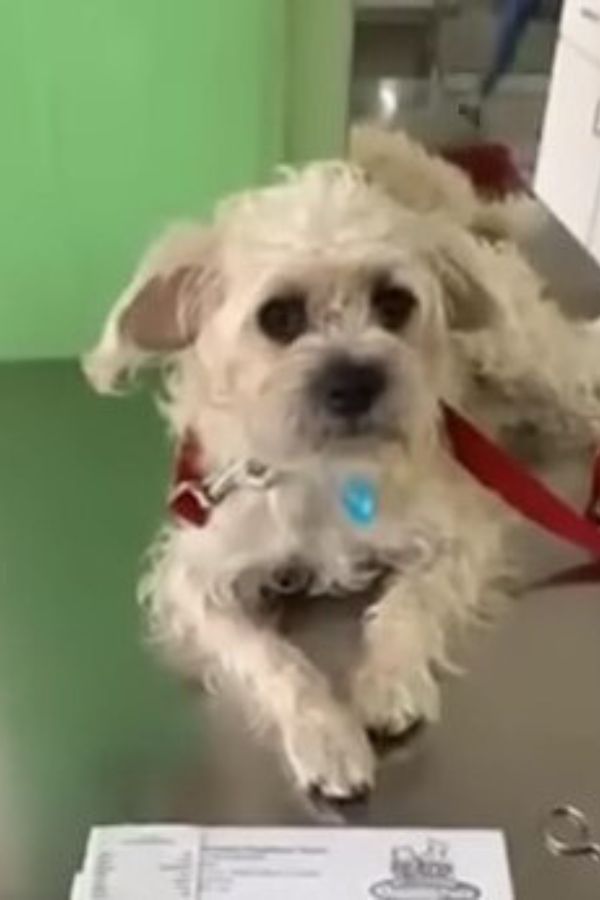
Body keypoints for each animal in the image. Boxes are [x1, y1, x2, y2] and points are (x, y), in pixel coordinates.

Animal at [86, 128, 600, 800]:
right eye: (279, 316)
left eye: (394, 302)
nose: (356, 380)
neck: (322, 471)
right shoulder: (196, 579)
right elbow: (271, 658)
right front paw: (325, 732)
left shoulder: (459, 536)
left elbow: (407, 608)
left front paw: (389, 681)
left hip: (525, 357)